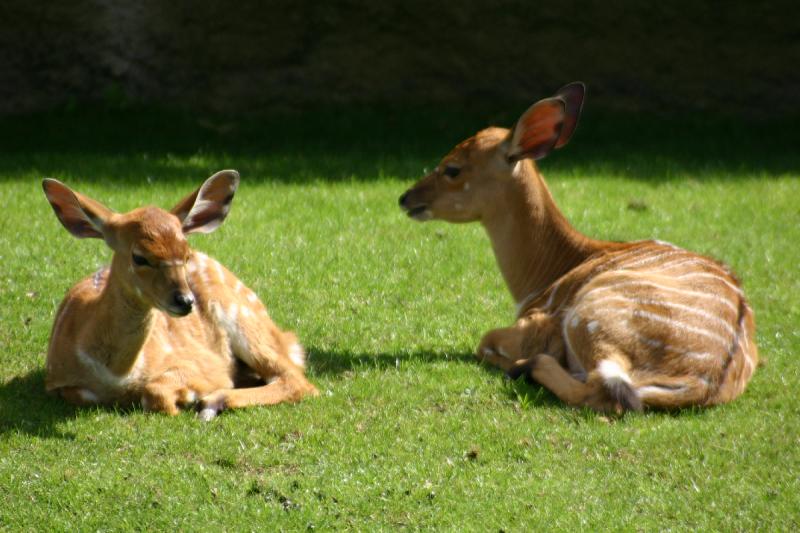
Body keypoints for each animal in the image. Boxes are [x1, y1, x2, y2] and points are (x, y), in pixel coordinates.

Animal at [41, 171, 316, 420]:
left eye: (186, 254)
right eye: (139, 257)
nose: (185, 301)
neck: (116, 374)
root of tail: (284, 337)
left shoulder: (204, 363)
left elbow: (155, 391)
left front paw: (187, 399)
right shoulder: (58, 382)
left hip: (244, 319)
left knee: (298, 381)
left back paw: (212, 402)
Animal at [400, 83, 756, 410]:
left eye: (452, 169)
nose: (405, 198)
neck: (544, 276)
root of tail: (701, 381)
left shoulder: (537, 321)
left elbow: (485, 340)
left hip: (588, 316)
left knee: (607, 389)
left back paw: (526, 369)